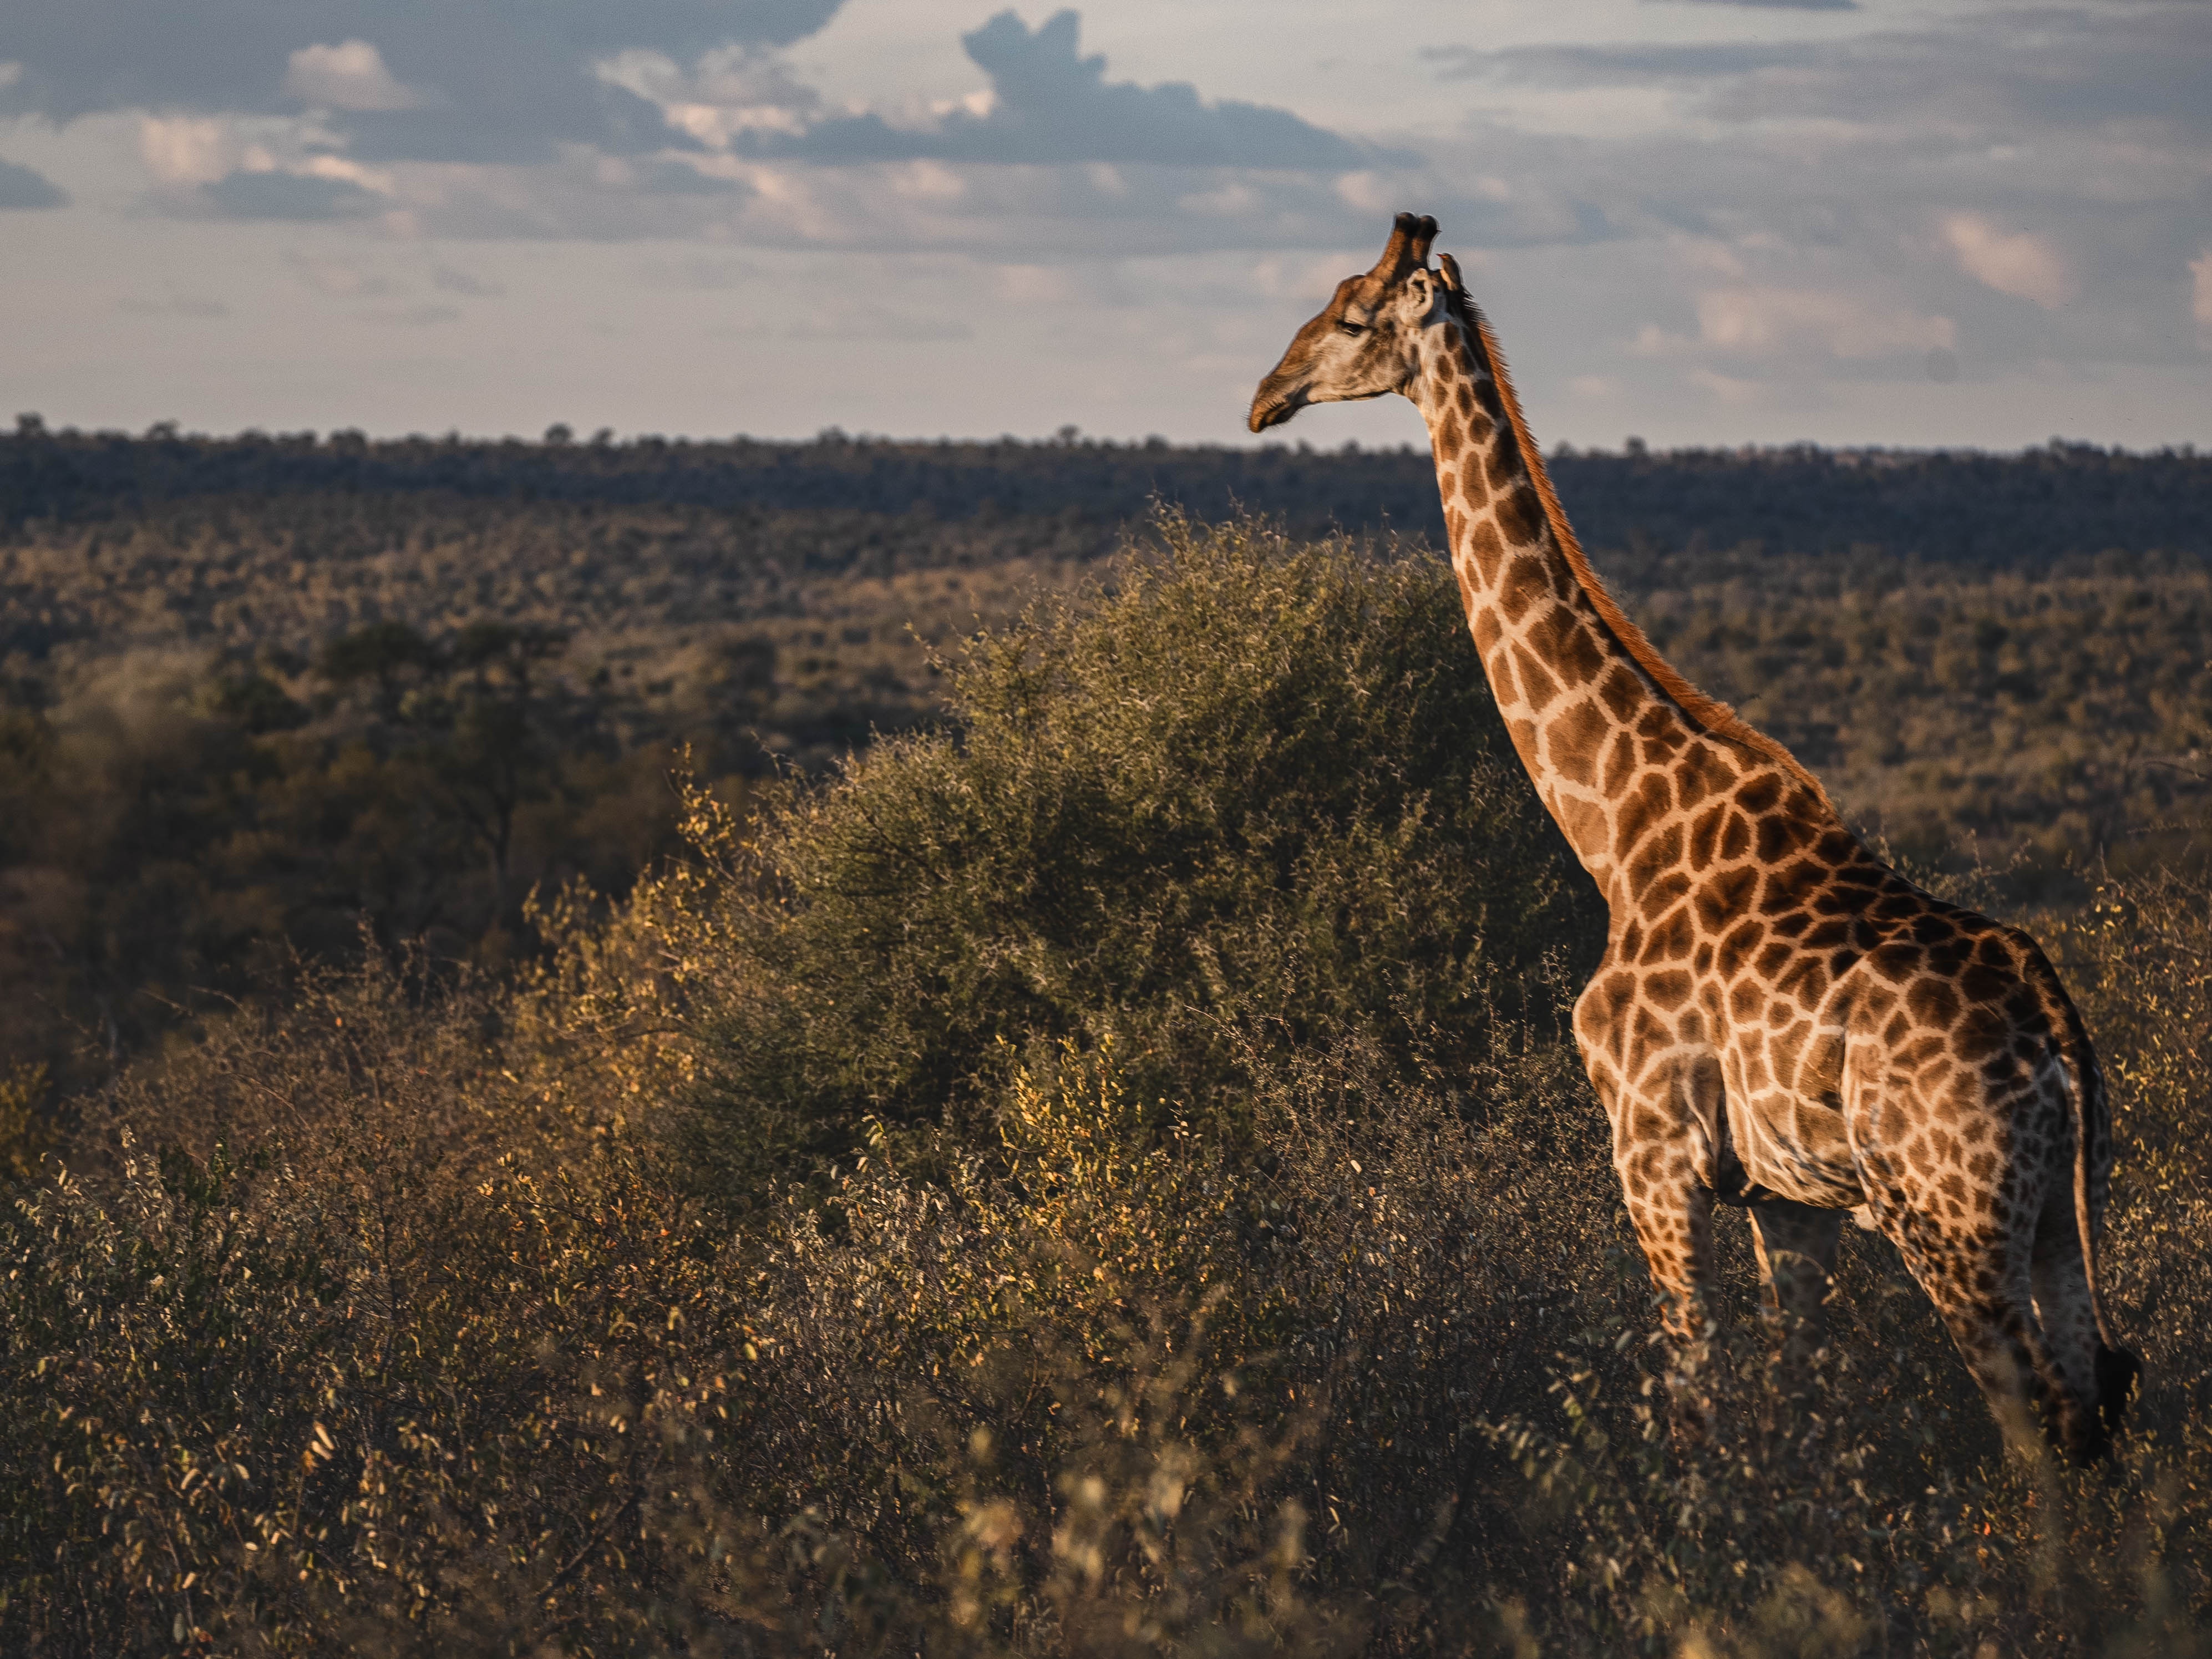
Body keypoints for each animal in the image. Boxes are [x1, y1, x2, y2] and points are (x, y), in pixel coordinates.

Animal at [1250, 213, 2139, 1463]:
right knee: (2099, 1391)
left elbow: (1691, 1392)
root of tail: (2052, 1024)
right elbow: (1794, 1399)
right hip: (2060, 1211)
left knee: (2035, 1422)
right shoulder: (1786, 1201)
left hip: (1947, 1219)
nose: (1263, 396)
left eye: (1345, 313)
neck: (1619, 824)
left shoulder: (1650, 1154)